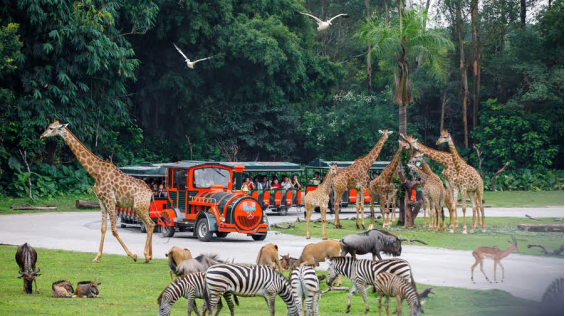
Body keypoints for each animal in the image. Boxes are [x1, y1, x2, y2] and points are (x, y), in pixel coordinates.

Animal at [40, 119, 155, 262]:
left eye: (51, 128)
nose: (41, 136)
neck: (96, 174)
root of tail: (150, 193)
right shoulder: (101, 201)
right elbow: (103, 228)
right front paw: (97, 257)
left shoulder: (110, 200)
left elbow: (114, 230)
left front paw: (132, 255)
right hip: (141, 207)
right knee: (150, 224)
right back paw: (149, 256)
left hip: (139, 206)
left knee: (150, 224)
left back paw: (145, 256)